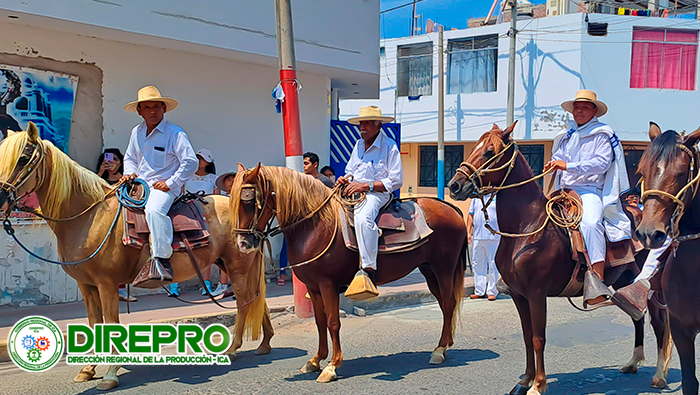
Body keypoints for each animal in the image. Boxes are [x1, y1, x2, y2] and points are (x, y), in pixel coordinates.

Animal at [0, 123, 272, 390]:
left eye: (23, 158)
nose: (1, 199)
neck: (89, 217)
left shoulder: (107, 284)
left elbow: (110, 325)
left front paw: (110, 374)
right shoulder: (86, 285)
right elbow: (93, 323)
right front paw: (88, 369)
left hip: (237, 265)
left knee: (244, 302)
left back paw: (233, 349)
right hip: (232, 264)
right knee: (257, 299)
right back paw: (264, 343)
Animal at [231, 163, 470, 384]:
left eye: (249, 201)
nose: (242, 243)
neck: (315, 225)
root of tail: (450, 208)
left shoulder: (328, 284)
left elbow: (333, 322)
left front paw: (332, 366)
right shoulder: (313, 287)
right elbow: (320, 322)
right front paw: (316, 360)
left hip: (444, 268)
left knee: (449, 304)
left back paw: (439, 351)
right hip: (429, 271)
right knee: (444, 305)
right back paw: (445, 345)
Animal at [448, 124, 672, 395]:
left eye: (490, 151)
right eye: (474, 147)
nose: (454, 185)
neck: (527, 226)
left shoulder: (536, 293)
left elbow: (538, 337)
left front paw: (538, 385)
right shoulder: (518, 294)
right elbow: (527, 336)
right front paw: (524, 380)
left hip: (648, 284)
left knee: (658, 323)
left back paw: (659, 376)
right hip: (624, 282)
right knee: (637, 317)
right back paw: (632, 363)